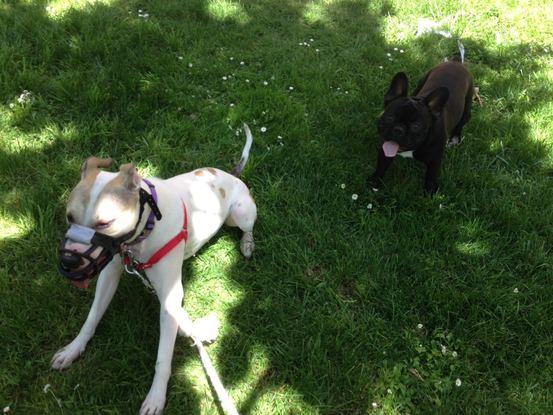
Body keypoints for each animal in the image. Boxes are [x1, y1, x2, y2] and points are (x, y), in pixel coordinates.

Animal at [51, 125, 256, 414]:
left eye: (105, 223)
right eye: (70, 217)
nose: (68, 262)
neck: (146, 226)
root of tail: (232, 175)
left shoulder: (170, 297)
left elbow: (163, 358)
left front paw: (156, 397)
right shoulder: (109, 274)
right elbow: (91, 318)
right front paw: (73, 349)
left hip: (241, 213)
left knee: (248, 228)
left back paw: (247, 244)